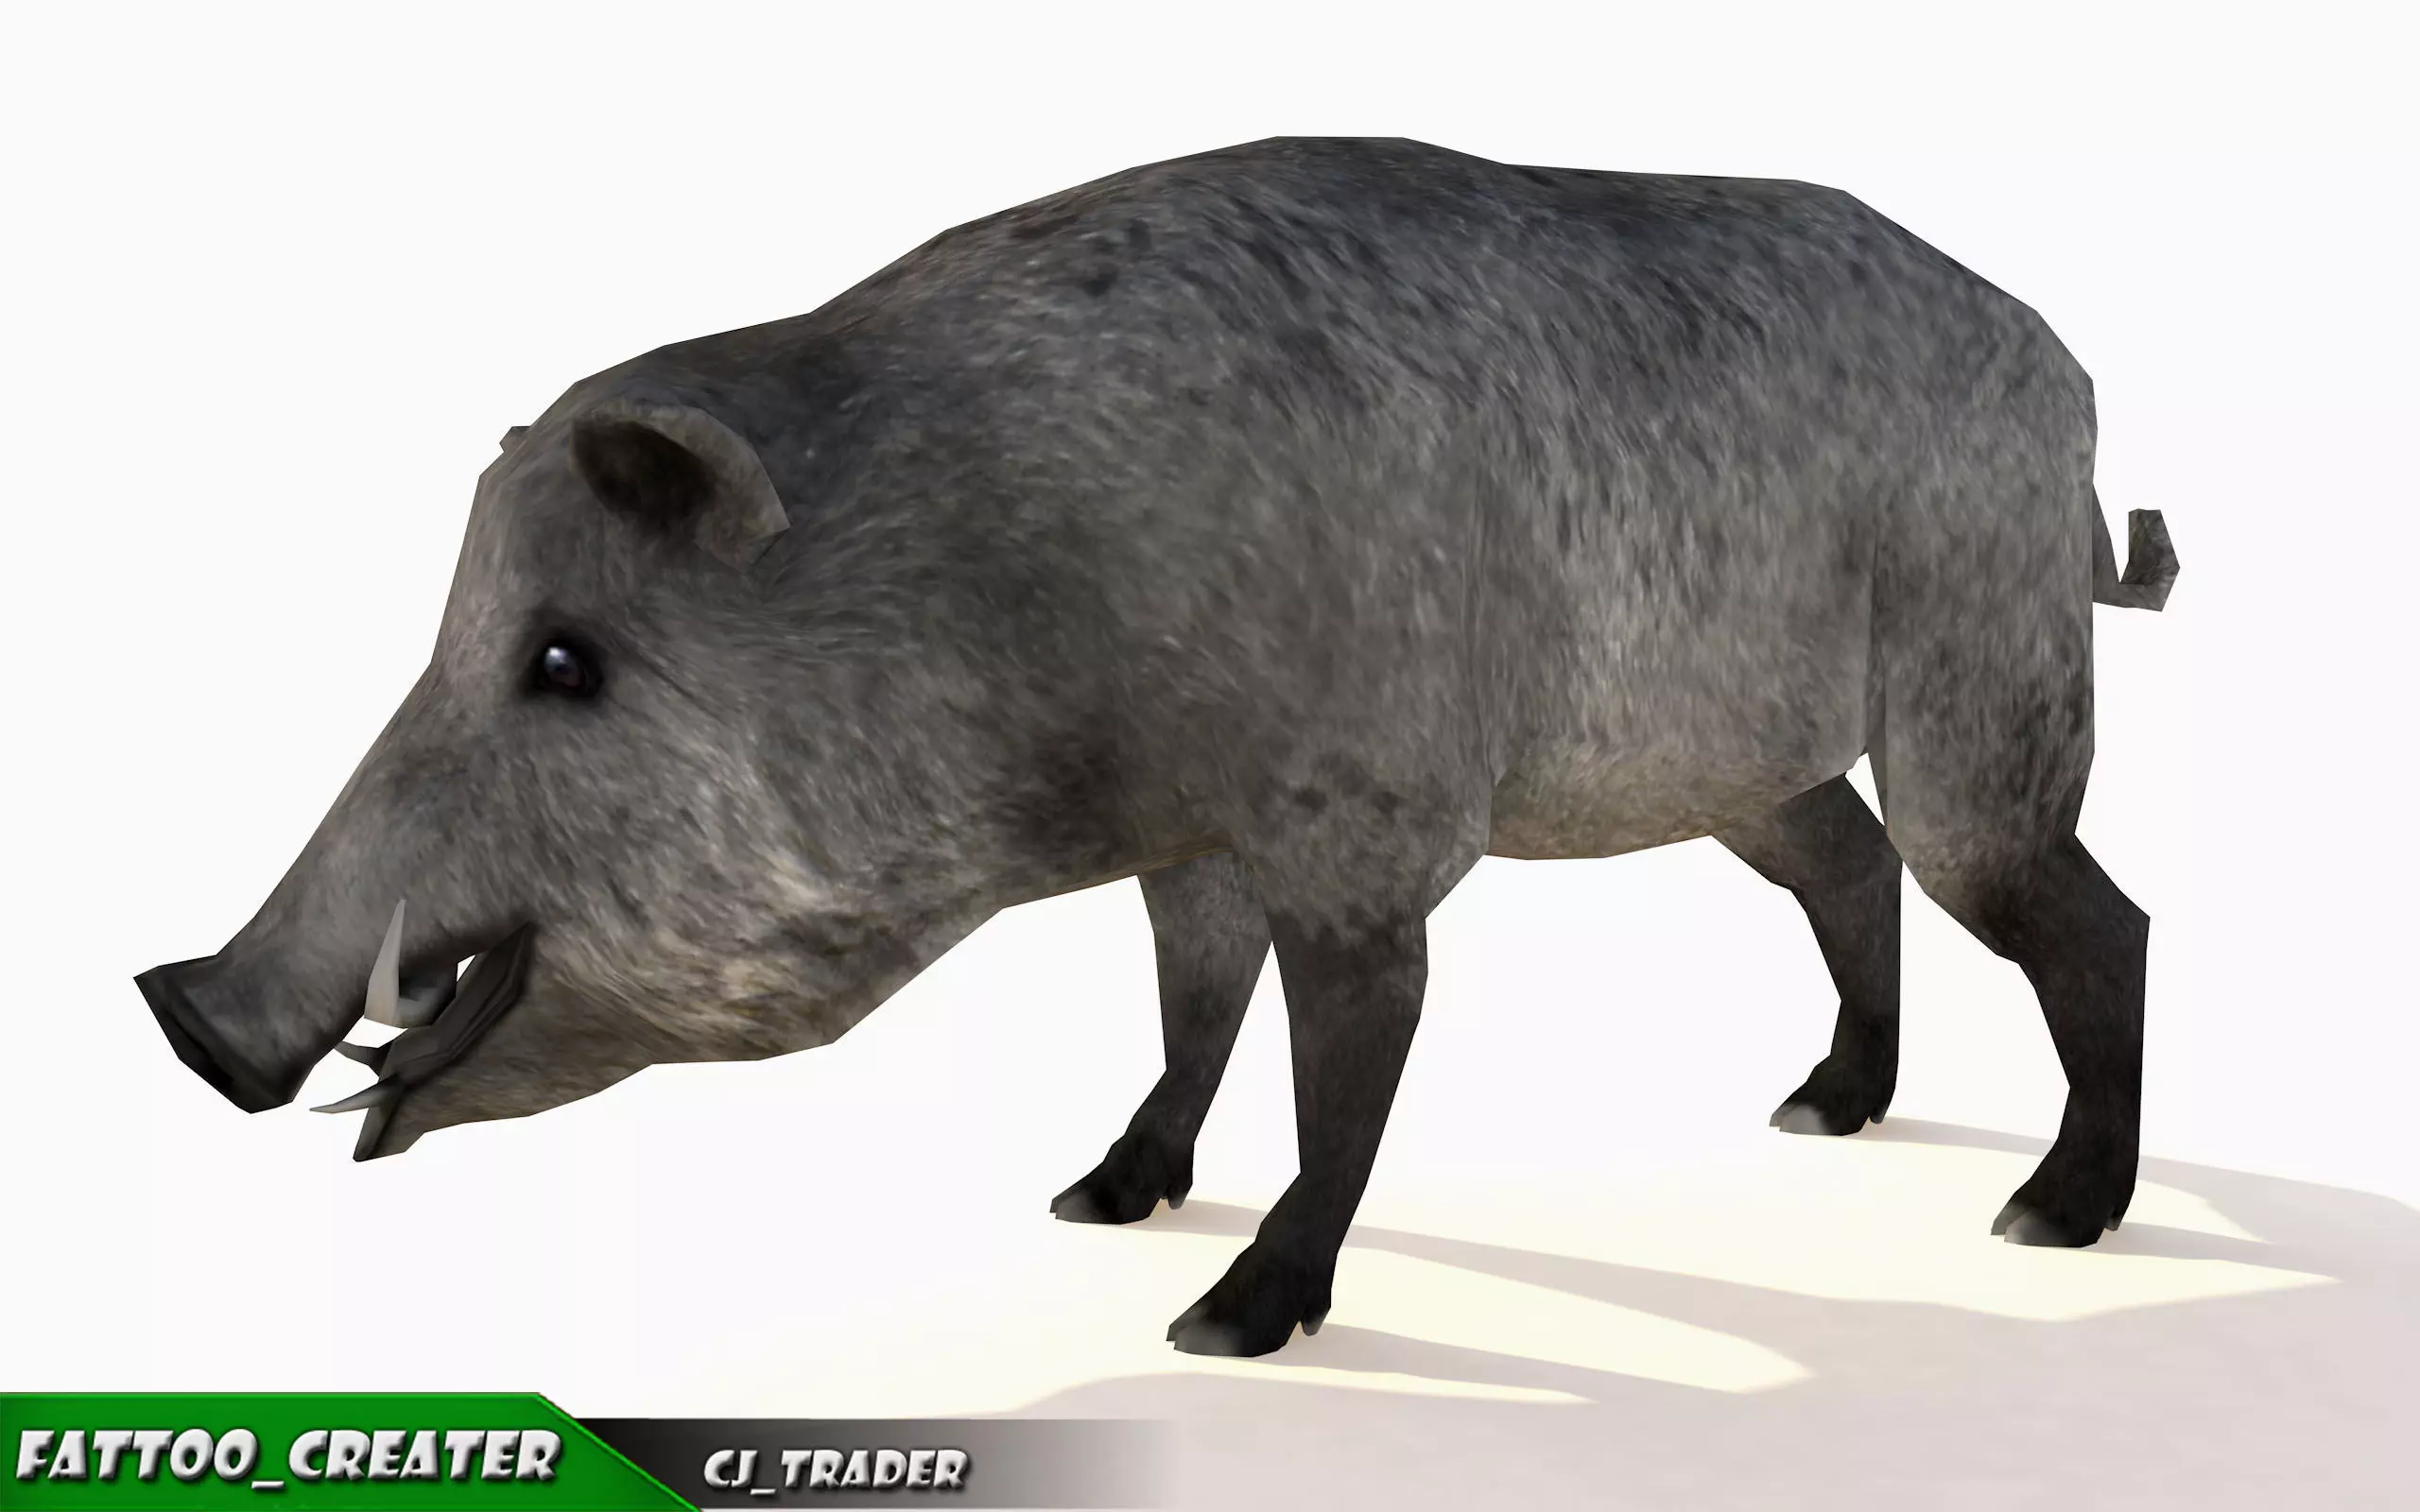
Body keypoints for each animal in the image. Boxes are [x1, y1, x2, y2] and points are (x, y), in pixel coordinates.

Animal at [136, 136, 2179, 1358]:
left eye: (565, 659)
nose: (186, 1007)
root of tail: (2067, 372)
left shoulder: (1360, 837)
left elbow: (1338, 1069)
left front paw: (1220, 1323)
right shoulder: (1189, 840)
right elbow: (1193, 1003)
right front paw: (1096, 1197)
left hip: (1979, 697)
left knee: (2093, 914)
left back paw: (2044, 1217)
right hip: (1747, 760)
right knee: (1849, 867)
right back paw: (1822, 1109)